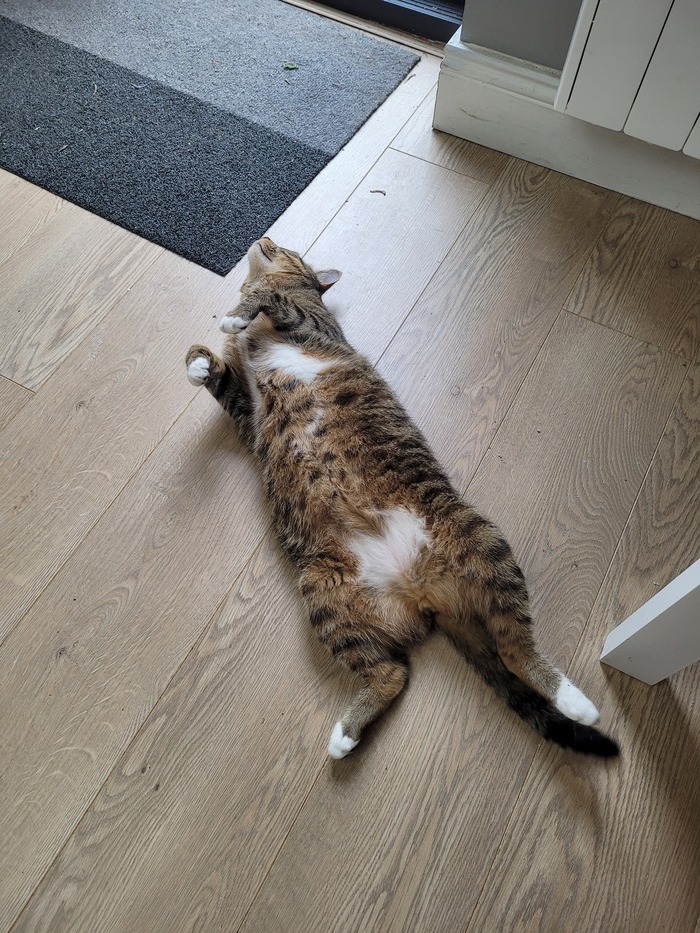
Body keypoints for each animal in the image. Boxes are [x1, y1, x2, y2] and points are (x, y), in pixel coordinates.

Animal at [186, 237, 619, 759]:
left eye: (288, 246)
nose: (265, 237)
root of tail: (424, 594)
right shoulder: (249, 416)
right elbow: (222, 380)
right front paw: (199, 361)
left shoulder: (310, 328)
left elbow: (272, 300)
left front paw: (236, 315)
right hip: (325, 596)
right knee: (393, 673)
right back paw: (345, 734)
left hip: (477, 534)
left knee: (515, 649)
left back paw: (575, 701)